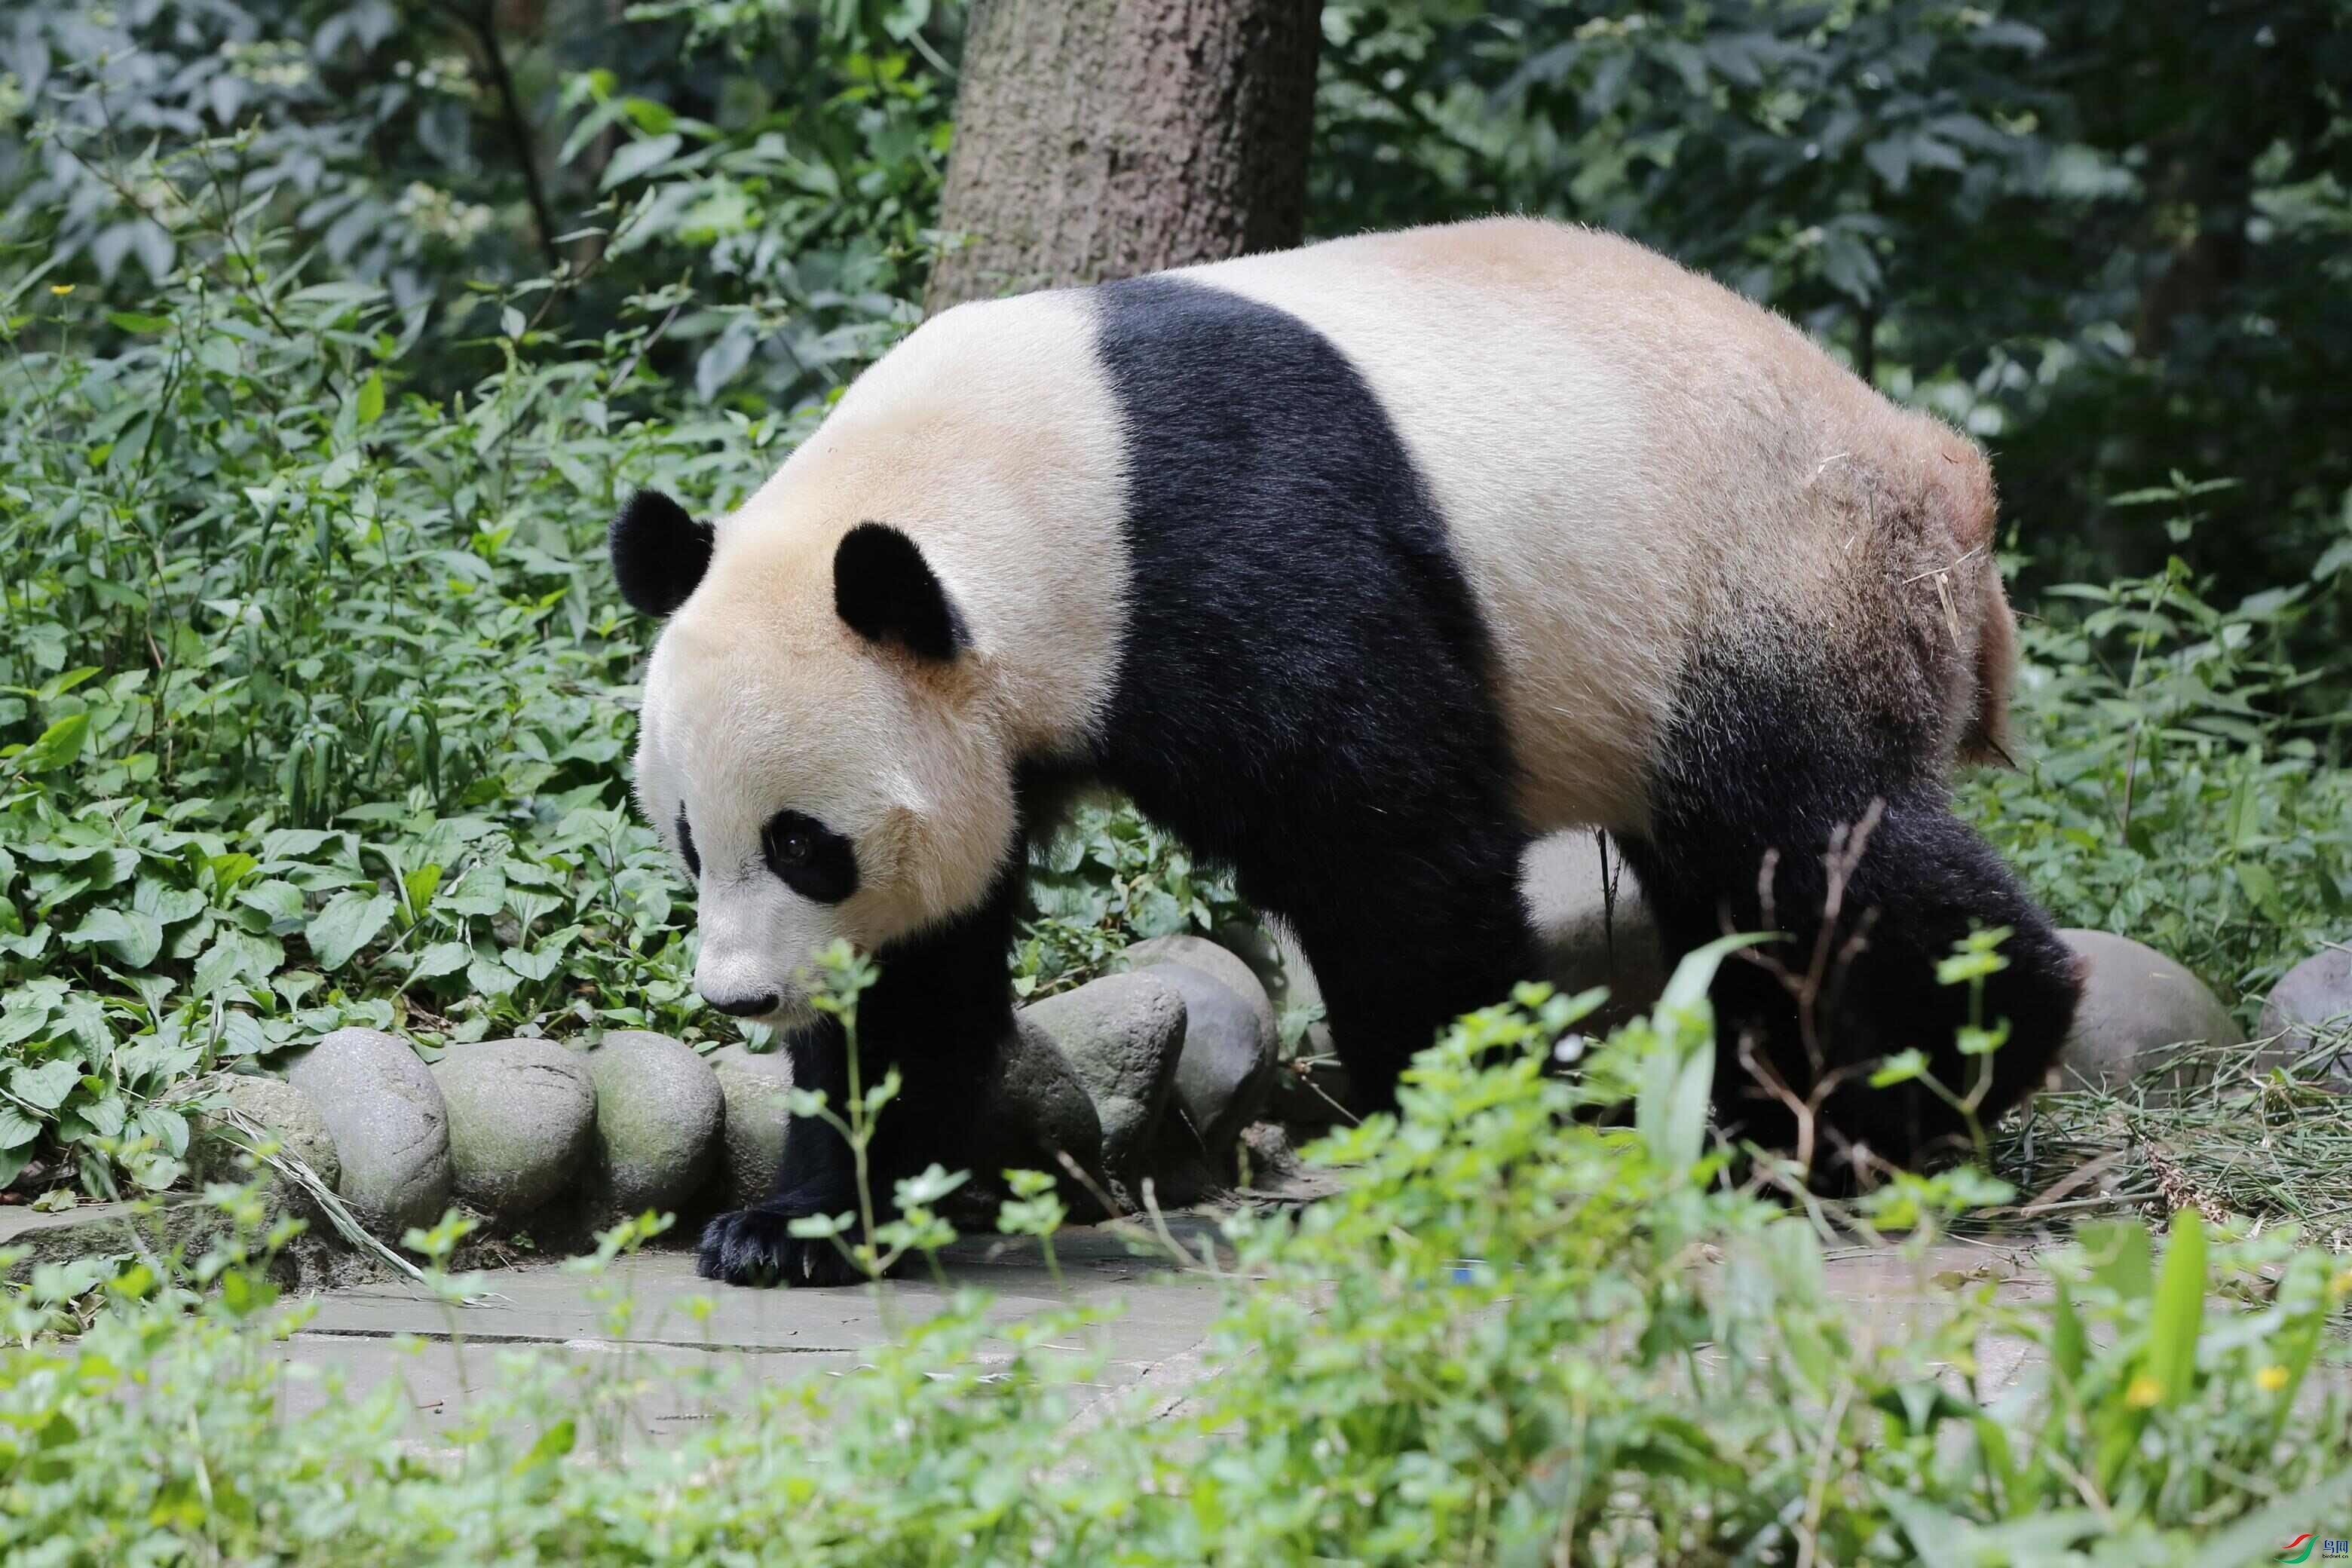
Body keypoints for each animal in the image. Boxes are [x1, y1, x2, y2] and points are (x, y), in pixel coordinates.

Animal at [616, 215, 2088, 1288]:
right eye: (690, 839)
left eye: (804, 845)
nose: (741, 1000)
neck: (1026, 473)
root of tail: (1942, 472)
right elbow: (924, 971)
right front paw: (792, 1227)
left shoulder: (1231, 554)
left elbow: (1392, 857)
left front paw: (1451, 1158)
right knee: (1745, 902)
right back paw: (1767, 1130)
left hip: (1766, 588)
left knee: (1813, 841)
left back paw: (1922, 1096)